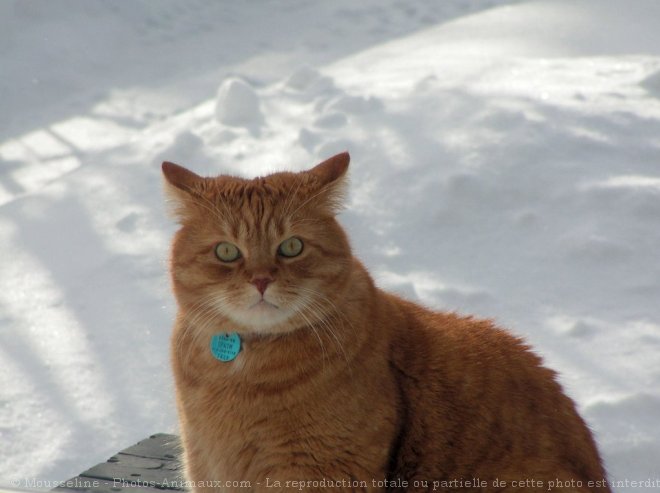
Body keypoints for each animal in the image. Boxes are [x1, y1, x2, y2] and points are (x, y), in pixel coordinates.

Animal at [162, 152, 612, 490]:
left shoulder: (322, 474)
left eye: (291, 247)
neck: (243, 373)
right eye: (226, 252)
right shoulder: (207, 470)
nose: (260, 279)